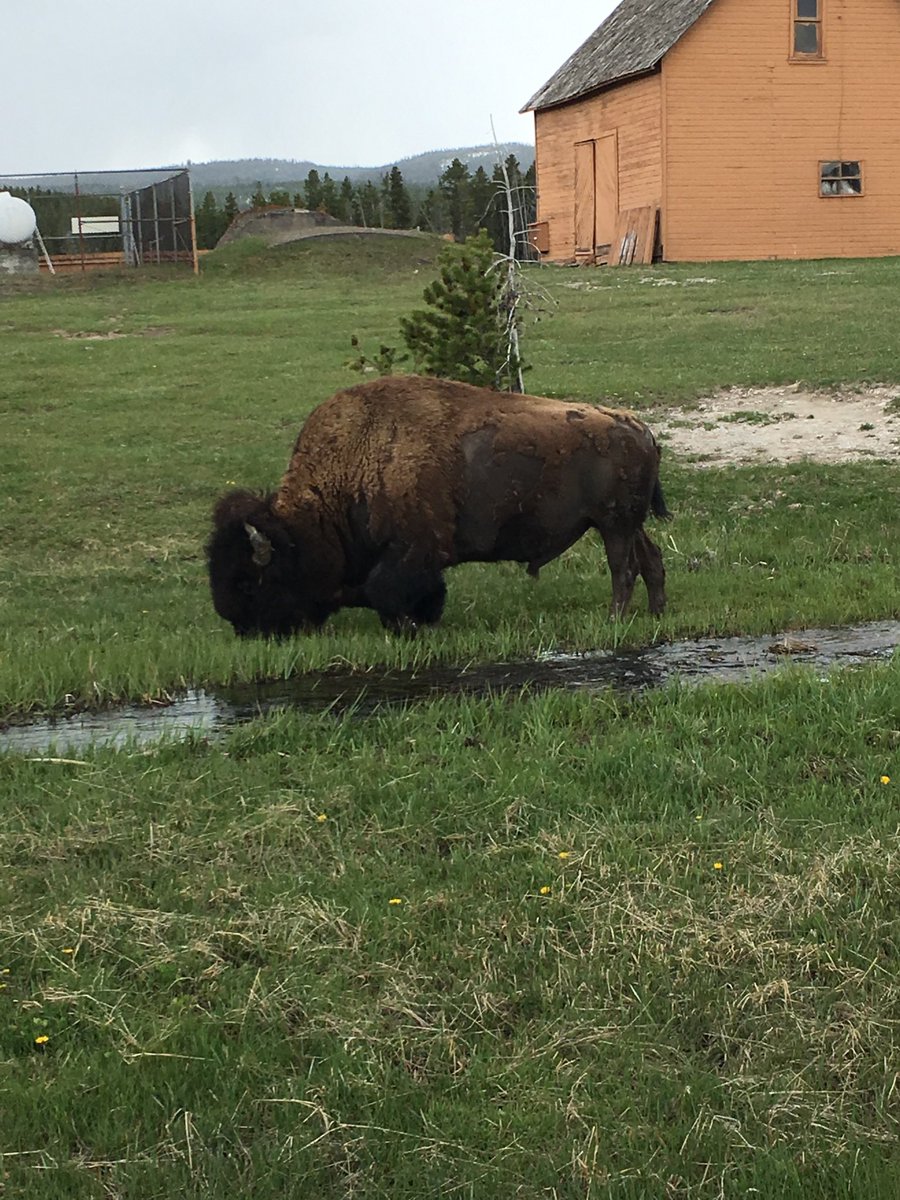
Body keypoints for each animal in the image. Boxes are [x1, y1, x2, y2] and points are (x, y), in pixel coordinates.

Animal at [207, 375, 669, 636]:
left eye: (247, 582)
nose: (241, 627)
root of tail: (642, 429)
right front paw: (424, 621)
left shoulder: (412, 551)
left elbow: (384, 591)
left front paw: (412, 628)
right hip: (626, 524)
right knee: (651, 559)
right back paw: (656, 612)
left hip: (613, 525)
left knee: (624, 568)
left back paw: (615, 619)